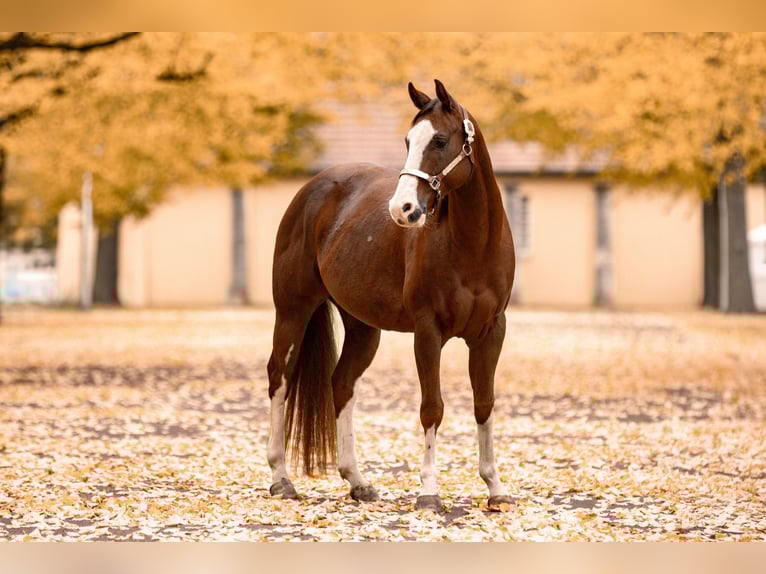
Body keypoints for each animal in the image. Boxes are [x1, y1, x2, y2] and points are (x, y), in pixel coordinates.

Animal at [266, 79, 515, 511]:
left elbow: (484, 403)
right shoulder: (428, 333)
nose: (403, 209)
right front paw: (429, 492)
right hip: (292, 310)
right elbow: (432, 408)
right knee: (279, 377)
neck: (474, 245)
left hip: (363, 328)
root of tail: (312, 189)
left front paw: (495, 488)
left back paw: (358, 482)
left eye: (440, 140)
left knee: (341, 384)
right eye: (407, 141)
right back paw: (281, 478)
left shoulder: (491, 332)